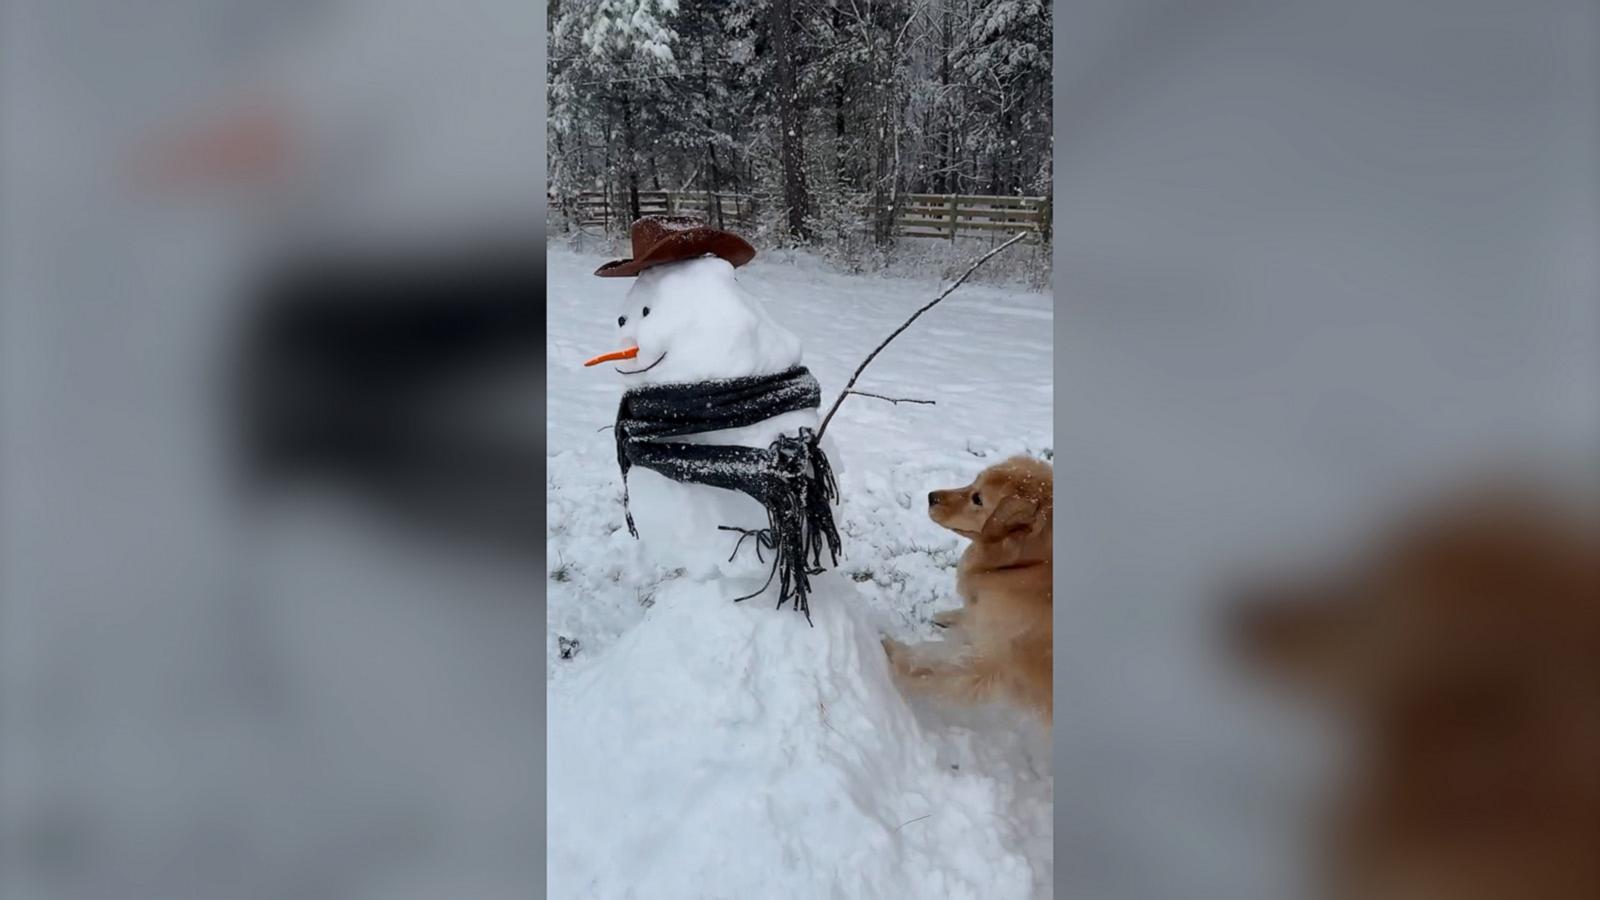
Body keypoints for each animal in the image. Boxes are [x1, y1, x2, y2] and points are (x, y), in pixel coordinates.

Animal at [889, 454, 1049, 720]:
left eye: (978, 499)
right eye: (974, 482)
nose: (931, 496)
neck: (1023, 567)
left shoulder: (987, 664)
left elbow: (937, 665)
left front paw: (894, 655)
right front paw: (950, 617)